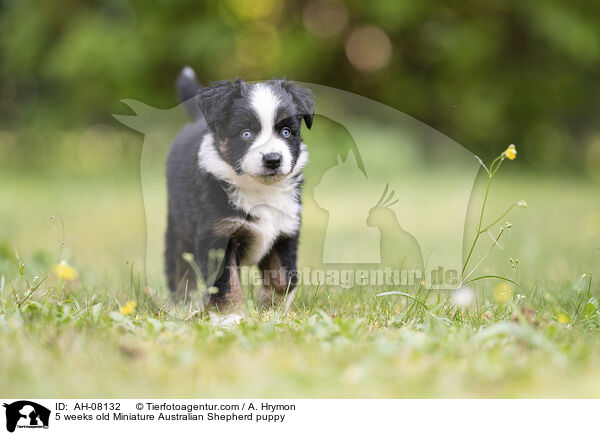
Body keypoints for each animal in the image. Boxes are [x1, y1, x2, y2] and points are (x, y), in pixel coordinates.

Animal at [164, 68, 314, 312]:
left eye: (285, 132)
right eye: (246, 134)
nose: (273, 159)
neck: (259, 189)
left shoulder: (286, 230)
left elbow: (284, 278)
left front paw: (271, 308)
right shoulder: (217, 234)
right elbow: (226, 283)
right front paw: (228, 316)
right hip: (179, 228)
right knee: (179, 271)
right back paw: (184, 306)